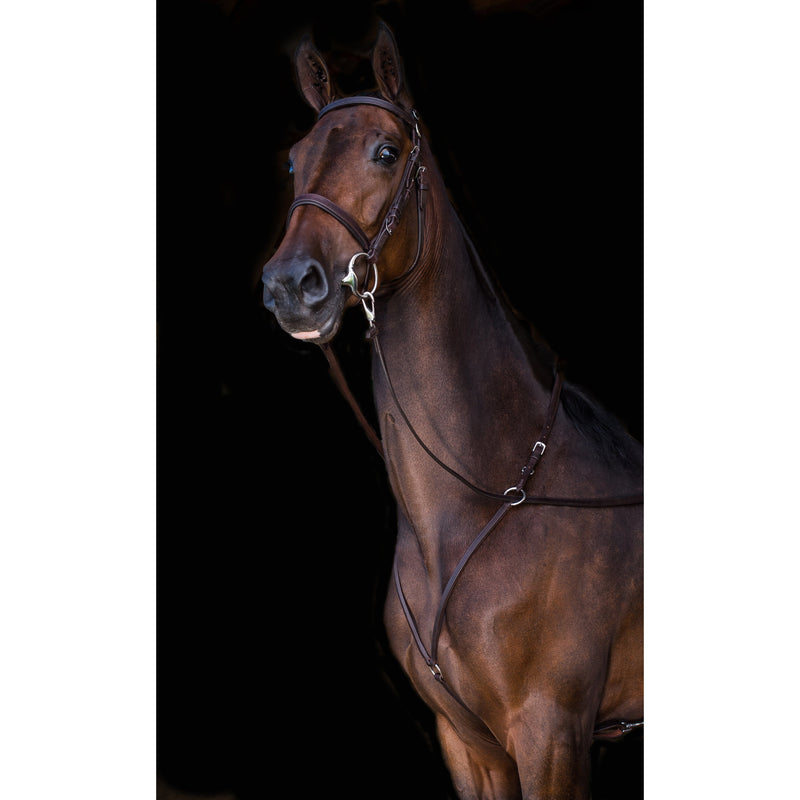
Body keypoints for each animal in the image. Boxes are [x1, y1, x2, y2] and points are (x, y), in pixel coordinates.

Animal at [262, 25, 644, 800]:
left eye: (386, 151)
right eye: (293, 158)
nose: (291, 284)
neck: (480, 501)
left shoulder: (553, 734)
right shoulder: (468, 745)